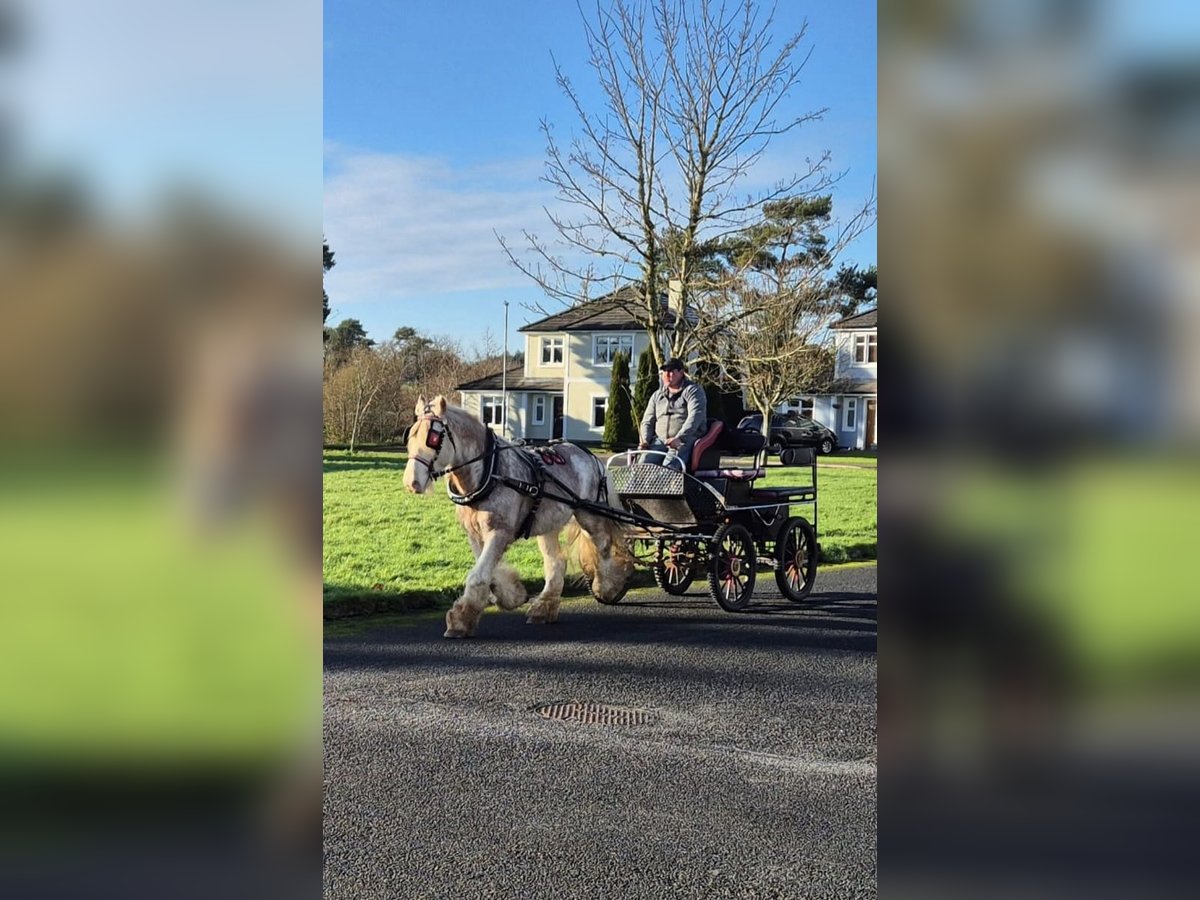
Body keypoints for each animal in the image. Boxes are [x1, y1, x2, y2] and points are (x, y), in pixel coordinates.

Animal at [400, 396, 633, 643]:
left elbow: (478, 575)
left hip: (589, 514)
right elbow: (488, 572)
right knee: (556, 562)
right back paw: (544, 607)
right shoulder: (475, 534)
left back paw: (607, 586)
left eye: (434, 438)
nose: (411, 482)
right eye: (410, 435)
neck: (490, 472)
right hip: (548, 523)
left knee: (605, 546)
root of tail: (590, 456)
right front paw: (512, 596)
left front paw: (461, 620)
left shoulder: (499, 532)